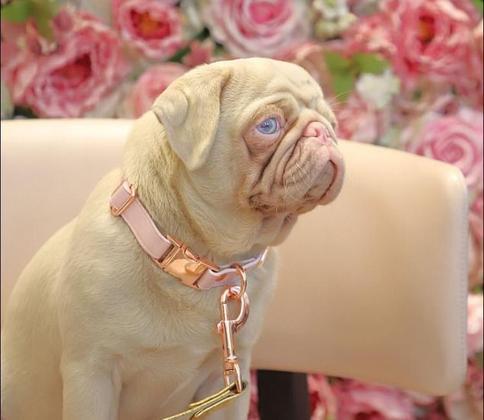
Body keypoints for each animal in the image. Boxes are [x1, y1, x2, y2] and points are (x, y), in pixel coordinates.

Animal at [2, 57, 344, 420]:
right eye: (268, 126)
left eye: (334, 123)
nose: (323, 132)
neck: (196, 261)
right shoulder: (92, 373)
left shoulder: (226, 386)